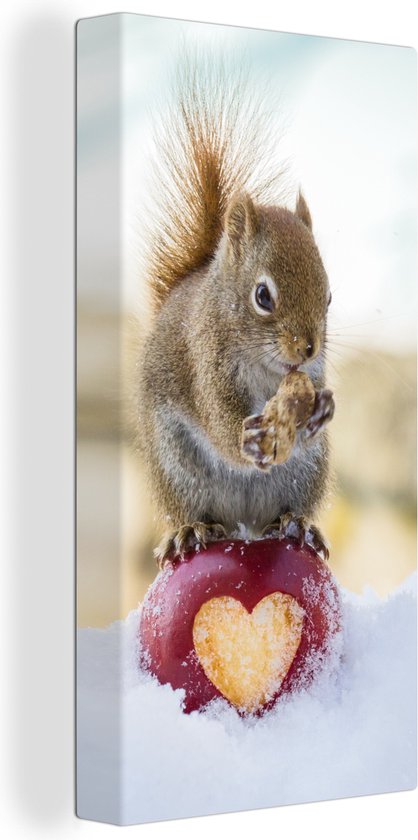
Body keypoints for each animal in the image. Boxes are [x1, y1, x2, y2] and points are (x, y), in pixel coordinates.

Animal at [136, 62, 335, 566]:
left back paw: (296, 523)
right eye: (263, 296)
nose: (307, 349)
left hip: (305, 473)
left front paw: (323, 407)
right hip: (177, 467)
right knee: (196, 510)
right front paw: (244, 439)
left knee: (286, 509)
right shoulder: (205, 362)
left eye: (328, 296)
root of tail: (244, 524)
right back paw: (190, 531)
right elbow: (217, 419)